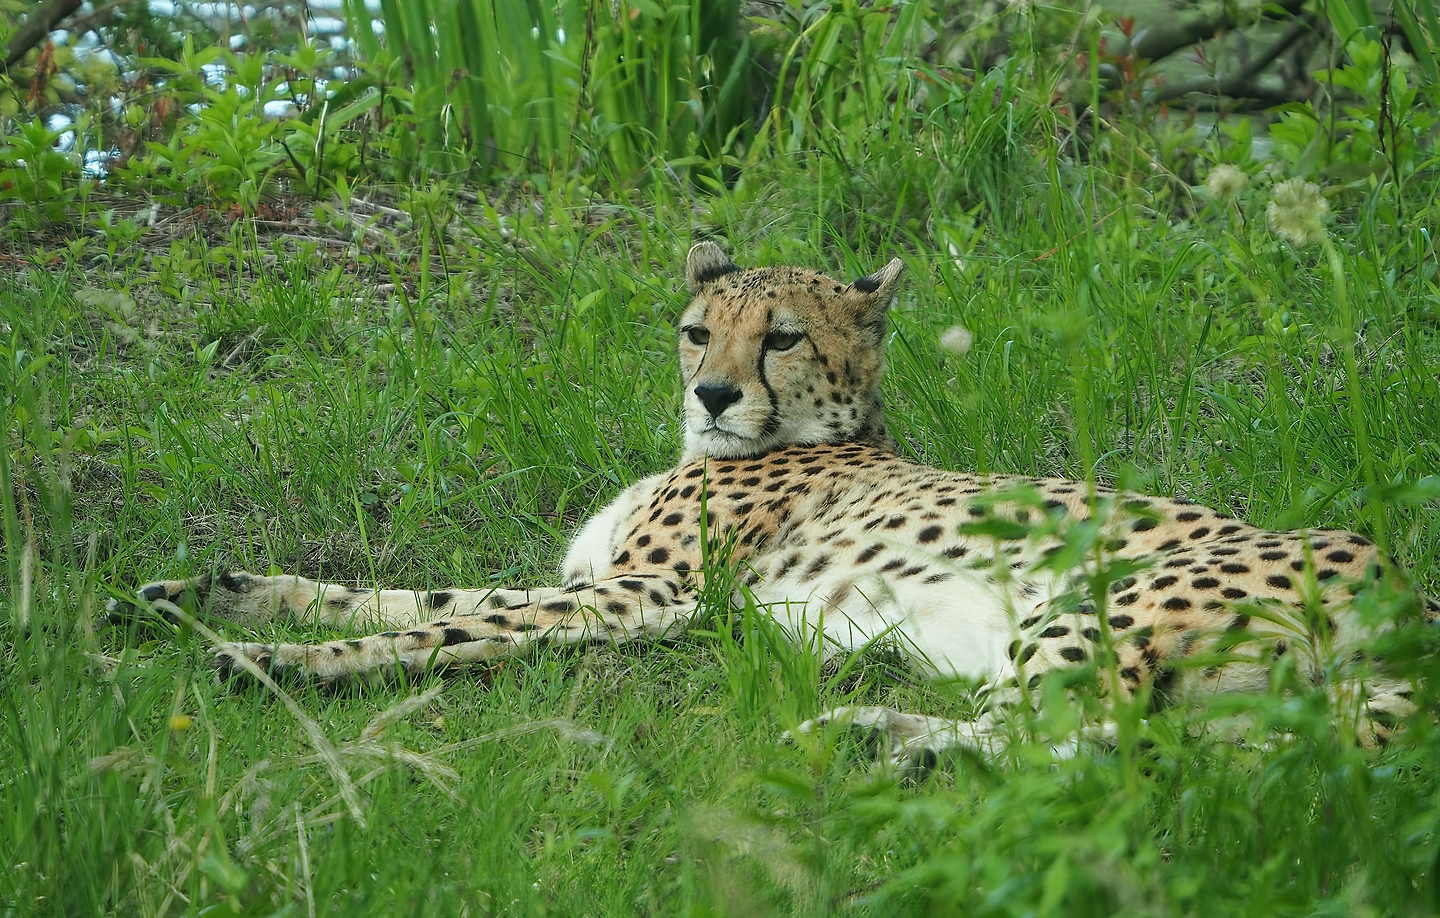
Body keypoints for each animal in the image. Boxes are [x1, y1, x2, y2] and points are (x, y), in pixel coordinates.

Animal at [110, 241, 1438, 764]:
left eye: (785, 338)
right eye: (702, 328)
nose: (711, 391)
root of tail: (1402, 581)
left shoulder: (650, 597)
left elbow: (454, 628)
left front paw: (278, 661)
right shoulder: (595, 579)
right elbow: (410, 596)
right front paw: (209, 589)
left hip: (1099, 605)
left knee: (1071, 744)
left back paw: (880, 741)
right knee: (1131, 749)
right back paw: (886, 741)